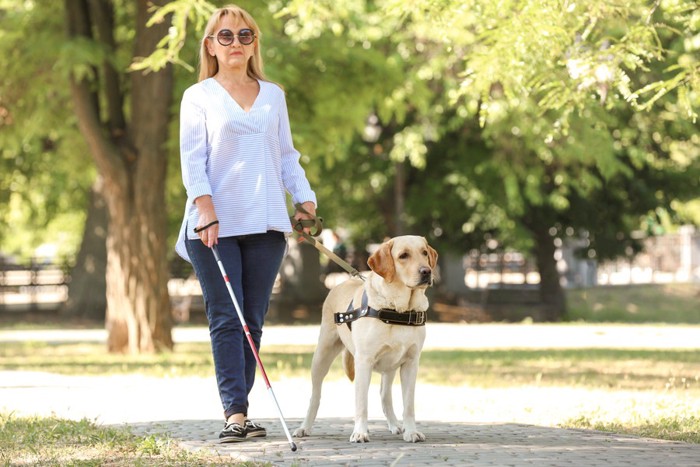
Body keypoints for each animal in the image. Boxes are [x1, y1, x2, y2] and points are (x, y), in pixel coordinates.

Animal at [294, 236, 438, 444]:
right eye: (403, 255)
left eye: (424, 253)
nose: (426, 271)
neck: (397, 311)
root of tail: (343, 282)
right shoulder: (364, 361)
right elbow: (361, 404)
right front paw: (360, 432)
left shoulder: (411, 363)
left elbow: (409, 405)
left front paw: (411, 431)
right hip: (322, 355)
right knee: (315, 396)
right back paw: (304, 427)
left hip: (390, 366)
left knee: (384, 396)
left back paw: (395, 425)